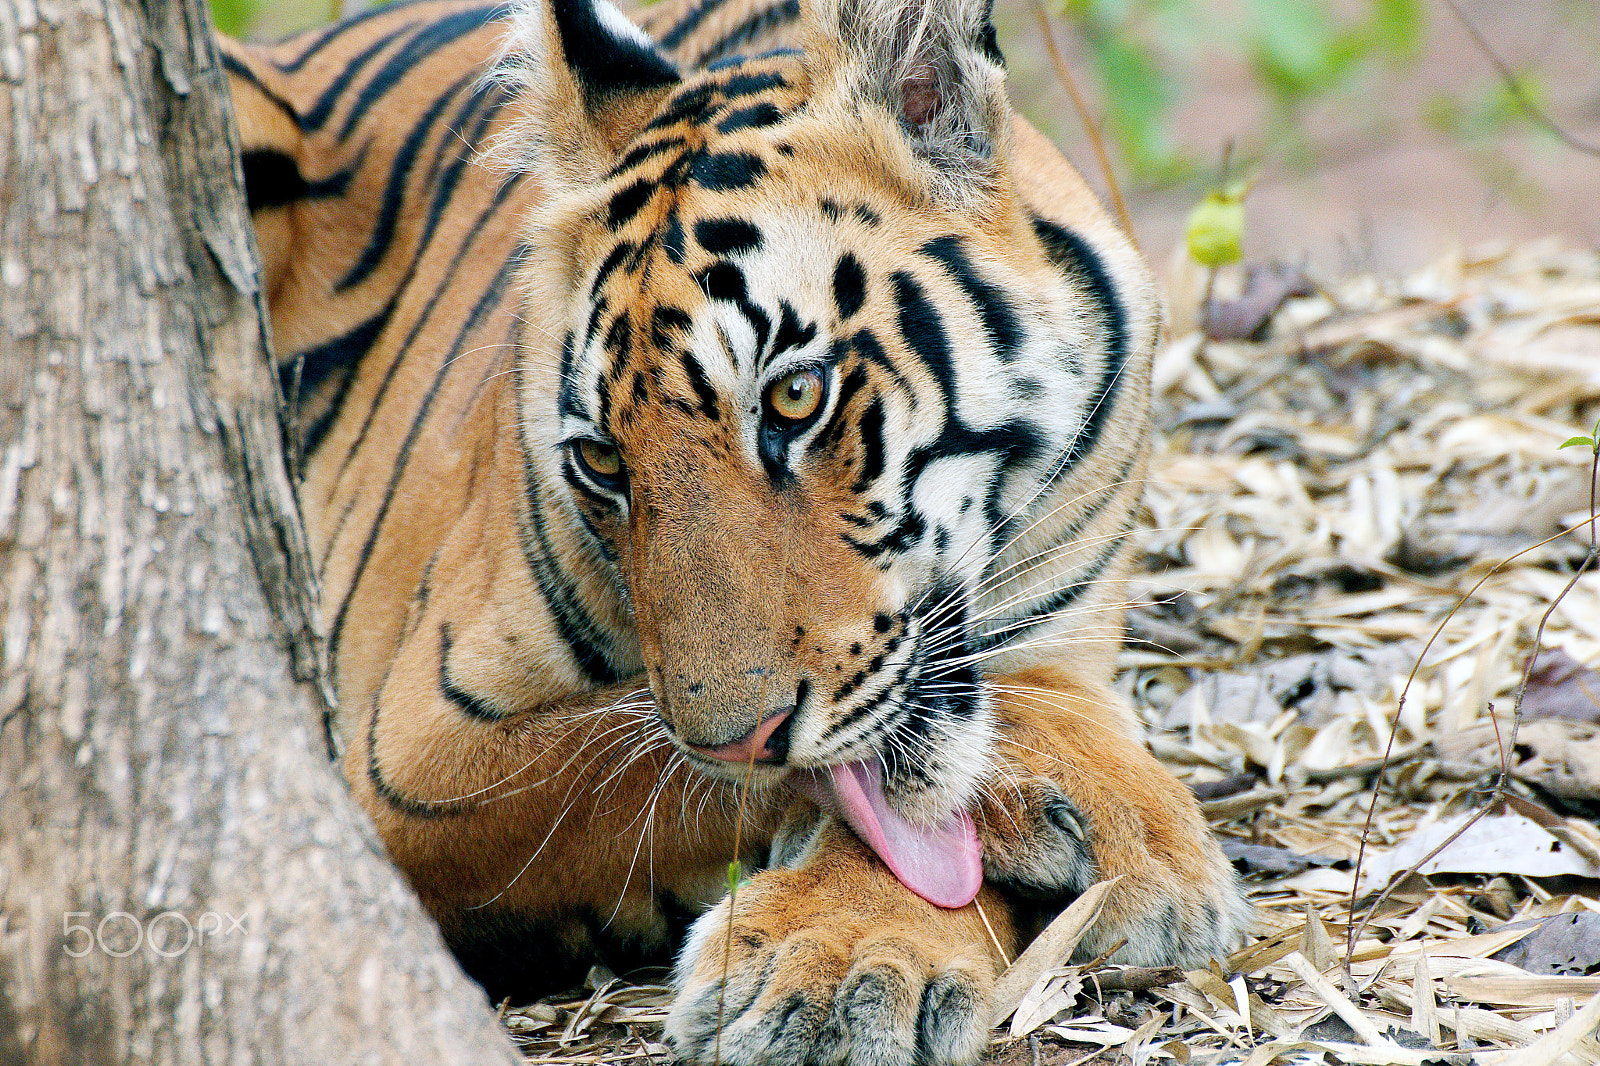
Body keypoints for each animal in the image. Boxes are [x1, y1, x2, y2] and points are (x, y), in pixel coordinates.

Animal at [220, 0, 1248, 1060]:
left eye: (796, 397)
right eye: (603, 462)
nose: (741, 740)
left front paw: (846, 965)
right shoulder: (410, 763)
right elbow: (636, 765)